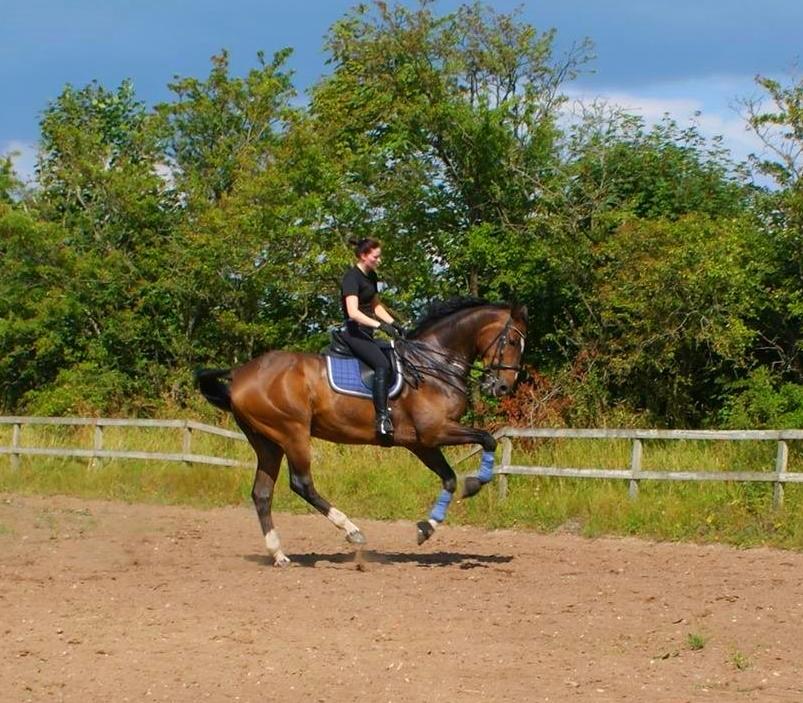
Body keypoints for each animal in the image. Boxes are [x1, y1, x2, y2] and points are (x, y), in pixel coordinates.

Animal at [197, 296, 528, 568]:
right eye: (512, 340)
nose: (502, 387)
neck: (434, 364)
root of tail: (239, 374)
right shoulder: (435, 432)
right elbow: (487, 440)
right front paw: (475, 484)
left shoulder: (420, 443)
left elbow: (448, 478)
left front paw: (427, 528)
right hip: (292, 433)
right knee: (302, 484)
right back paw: (352, 531)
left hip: (268, 442)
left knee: (262, 493)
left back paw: (279, 555)